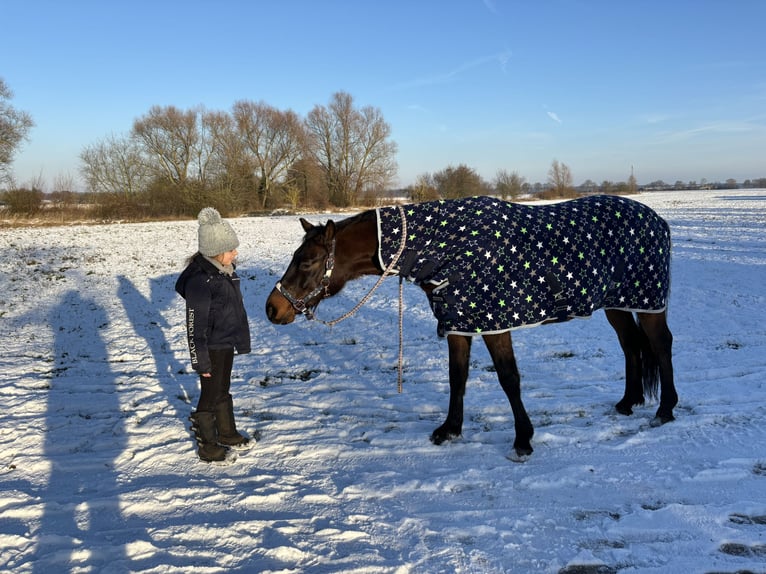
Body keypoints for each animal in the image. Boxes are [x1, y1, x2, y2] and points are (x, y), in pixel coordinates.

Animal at [268, 196, 680, 462]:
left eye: (306, 261)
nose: (272, 309)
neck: (449, 246)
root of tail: (657, 220)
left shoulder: (494, 324)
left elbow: (508, 377)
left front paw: (523, 440)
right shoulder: (459, 323)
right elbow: (458, 376)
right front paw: (449, 430)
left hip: (648, 303)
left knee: (660, 345)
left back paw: (665, 410)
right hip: (617, 304)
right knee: (630, 346)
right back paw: (628, 402)